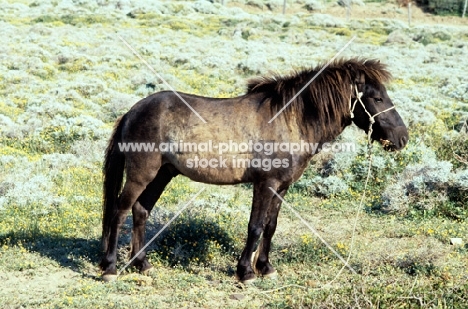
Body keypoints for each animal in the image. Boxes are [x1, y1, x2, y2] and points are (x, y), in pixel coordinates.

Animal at [100, 57, 408, 282]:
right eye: (377, 98)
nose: (402, 138)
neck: (290, 119)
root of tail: (131, 111)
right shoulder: (265, 183)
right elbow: (256, 226)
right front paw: (246, 272)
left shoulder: (282, 187)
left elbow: (271, 227)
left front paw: (266, 268)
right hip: (142, 174)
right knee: (119, 211)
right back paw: (110, 268)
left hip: (162, 174)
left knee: (140, 210)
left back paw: (142, 264)